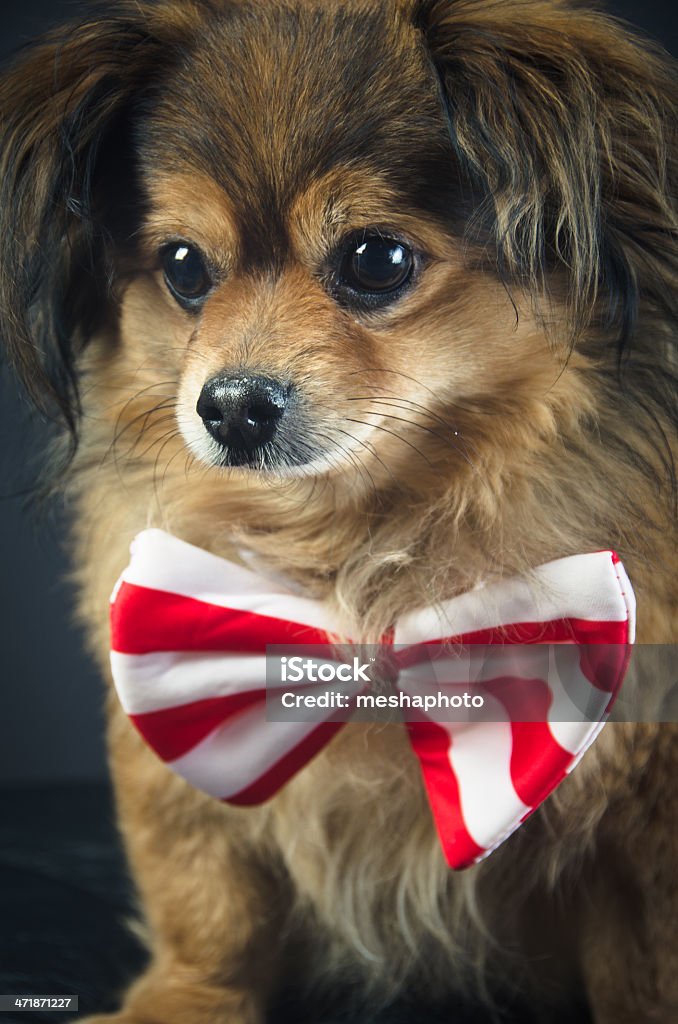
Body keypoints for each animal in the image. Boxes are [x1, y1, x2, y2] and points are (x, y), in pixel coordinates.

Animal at [1, 0, 678, 1019]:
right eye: (184, 269)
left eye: (376, 259)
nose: (232, 405)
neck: (357, 553)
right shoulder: (169, 729)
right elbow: (208, 900)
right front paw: (184, 999)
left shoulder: (639, 812)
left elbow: (642, 960)